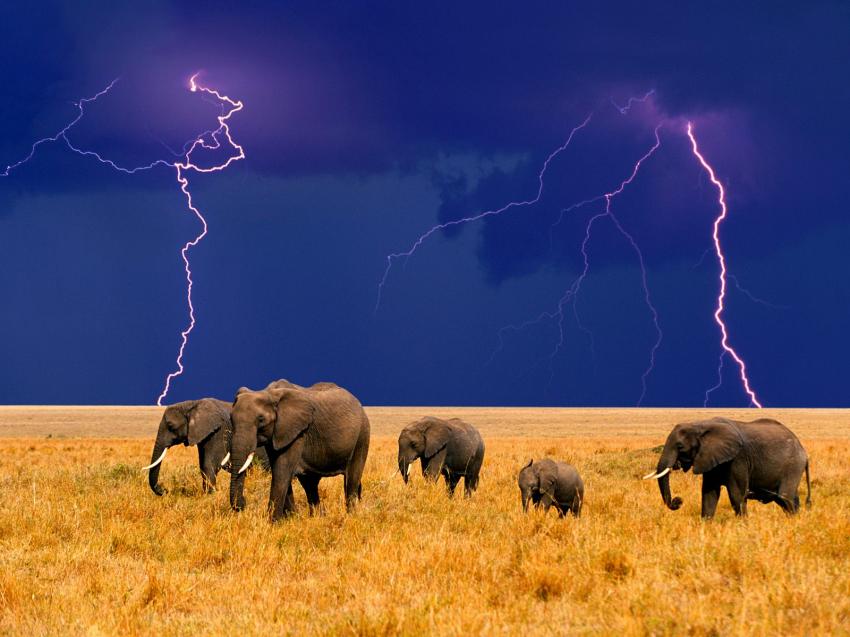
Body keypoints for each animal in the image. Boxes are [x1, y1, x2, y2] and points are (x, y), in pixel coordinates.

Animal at [228, 380, 370, 521]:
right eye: (231, 419)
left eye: (261, 419)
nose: (243, 504)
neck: (269, 393)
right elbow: (279, 470)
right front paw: (291, 519)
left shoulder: (296, 431)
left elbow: (281, 470)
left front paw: (273, 523)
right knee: (310, 484)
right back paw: (316, 518)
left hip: (362, 436)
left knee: (351, 480)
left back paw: (351, 517)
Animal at [643, 417, 811, 518]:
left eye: (680, 446)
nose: (678, 501)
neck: (700, 425)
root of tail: (804, 451)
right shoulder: (710, 458)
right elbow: (709, 493)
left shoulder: (738, 459)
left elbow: (736, 495)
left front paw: (743, 525)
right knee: (789, 499)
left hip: (793, 465)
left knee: (785, 496)